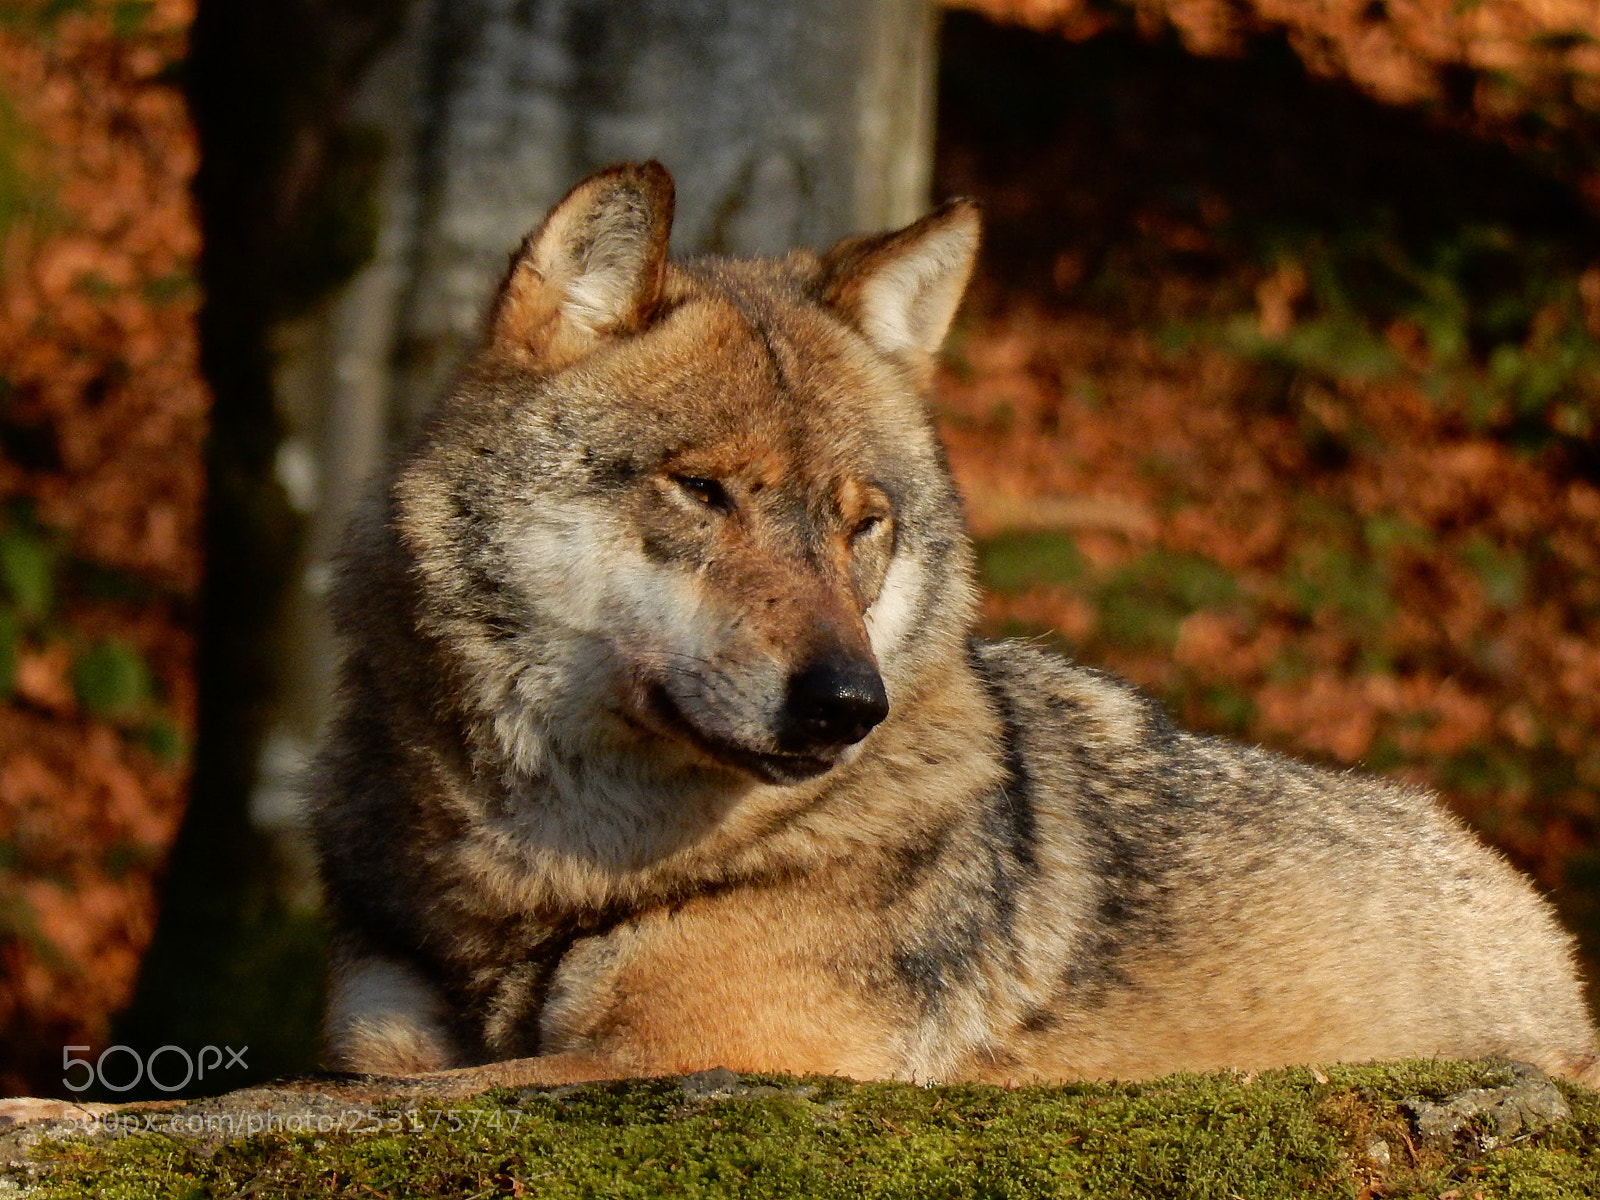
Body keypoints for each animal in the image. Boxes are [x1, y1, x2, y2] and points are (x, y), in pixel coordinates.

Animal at [310, 161, 1600, 1093]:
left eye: (862, 523)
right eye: (703, 491)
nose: (847, 704)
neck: (543, 875)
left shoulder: (690, 1053)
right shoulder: (382, 1040)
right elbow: (359, 1075)